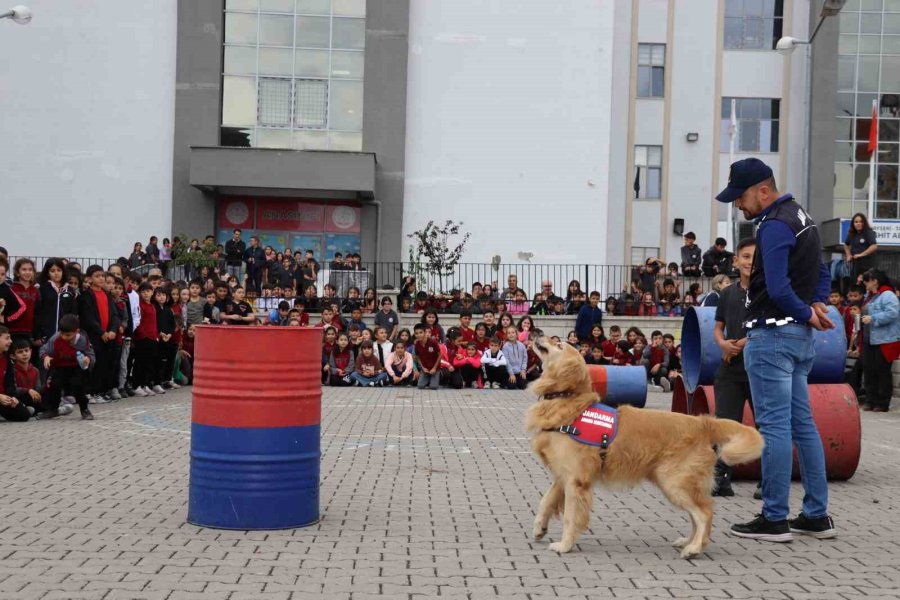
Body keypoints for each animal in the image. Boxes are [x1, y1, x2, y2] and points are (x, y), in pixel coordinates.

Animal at [524, 338, 764, 556]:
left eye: (559, 345)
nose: (538, 334)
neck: (569, 403)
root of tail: (702, 422)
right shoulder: (563, 475)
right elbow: (545, 501)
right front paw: (539, 528)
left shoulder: (576, 480)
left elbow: (570, 517)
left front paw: (565, 545)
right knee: (696, 514)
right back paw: (688, 541)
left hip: (674, 481)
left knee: (704, 513)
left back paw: (694, 548)